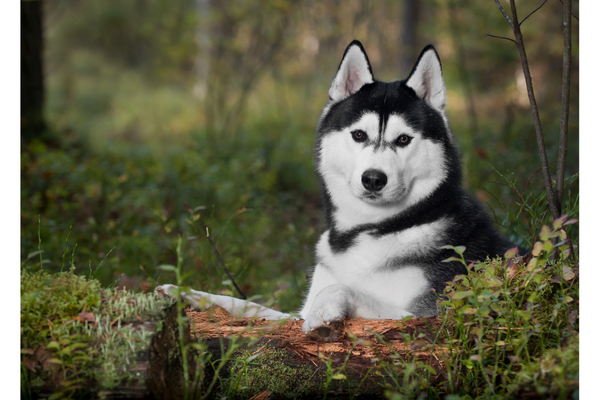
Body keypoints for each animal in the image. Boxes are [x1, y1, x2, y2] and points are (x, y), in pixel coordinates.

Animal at [157, 39, 524, 340]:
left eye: (404, 139)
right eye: (359, 135)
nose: (373, 178)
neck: (370, 230)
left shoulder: (429, 314)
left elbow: (343, 288)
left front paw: (325, 311)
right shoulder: (292, 312)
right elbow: (248, 305)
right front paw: (186, 293)